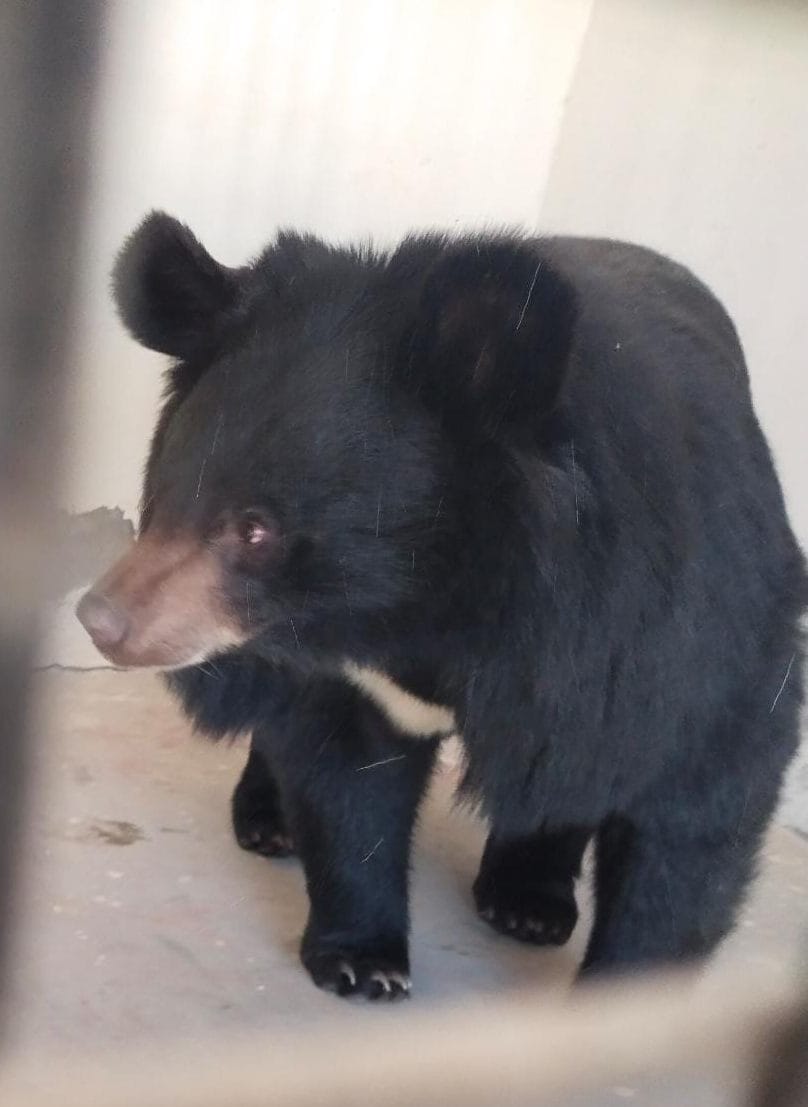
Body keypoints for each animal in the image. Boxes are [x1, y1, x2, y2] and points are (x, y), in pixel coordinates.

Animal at [77, 212, 807, 1001]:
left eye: (255, 528)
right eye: (171, 493)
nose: (100, 618)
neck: (424, 609)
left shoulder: (668, 633)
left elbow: (696, 803)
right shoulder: (351, 674)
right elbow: (350, 779)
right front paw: (363, 961)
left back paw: (527, 902)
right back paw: (271, 823)